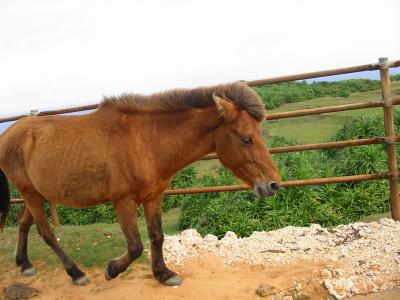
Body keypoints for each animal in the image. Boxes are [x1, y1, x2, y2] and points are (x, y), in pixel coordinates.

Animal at [0, 82, 280, 286]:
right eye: (246, 139)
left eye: (259, 134)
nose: (273, 185)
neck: (145, 141)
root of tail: (8, 133)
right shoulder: (123, 203)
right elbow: (135, 246)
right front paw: (112, 270)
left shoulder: (154, 197)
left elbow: (156, 236)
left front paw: (164, 274)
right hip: (31, 194)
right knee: (46, 232)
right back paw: (75, 273)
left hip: (35, 194)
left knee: (24, 223)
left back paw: (25, 264)